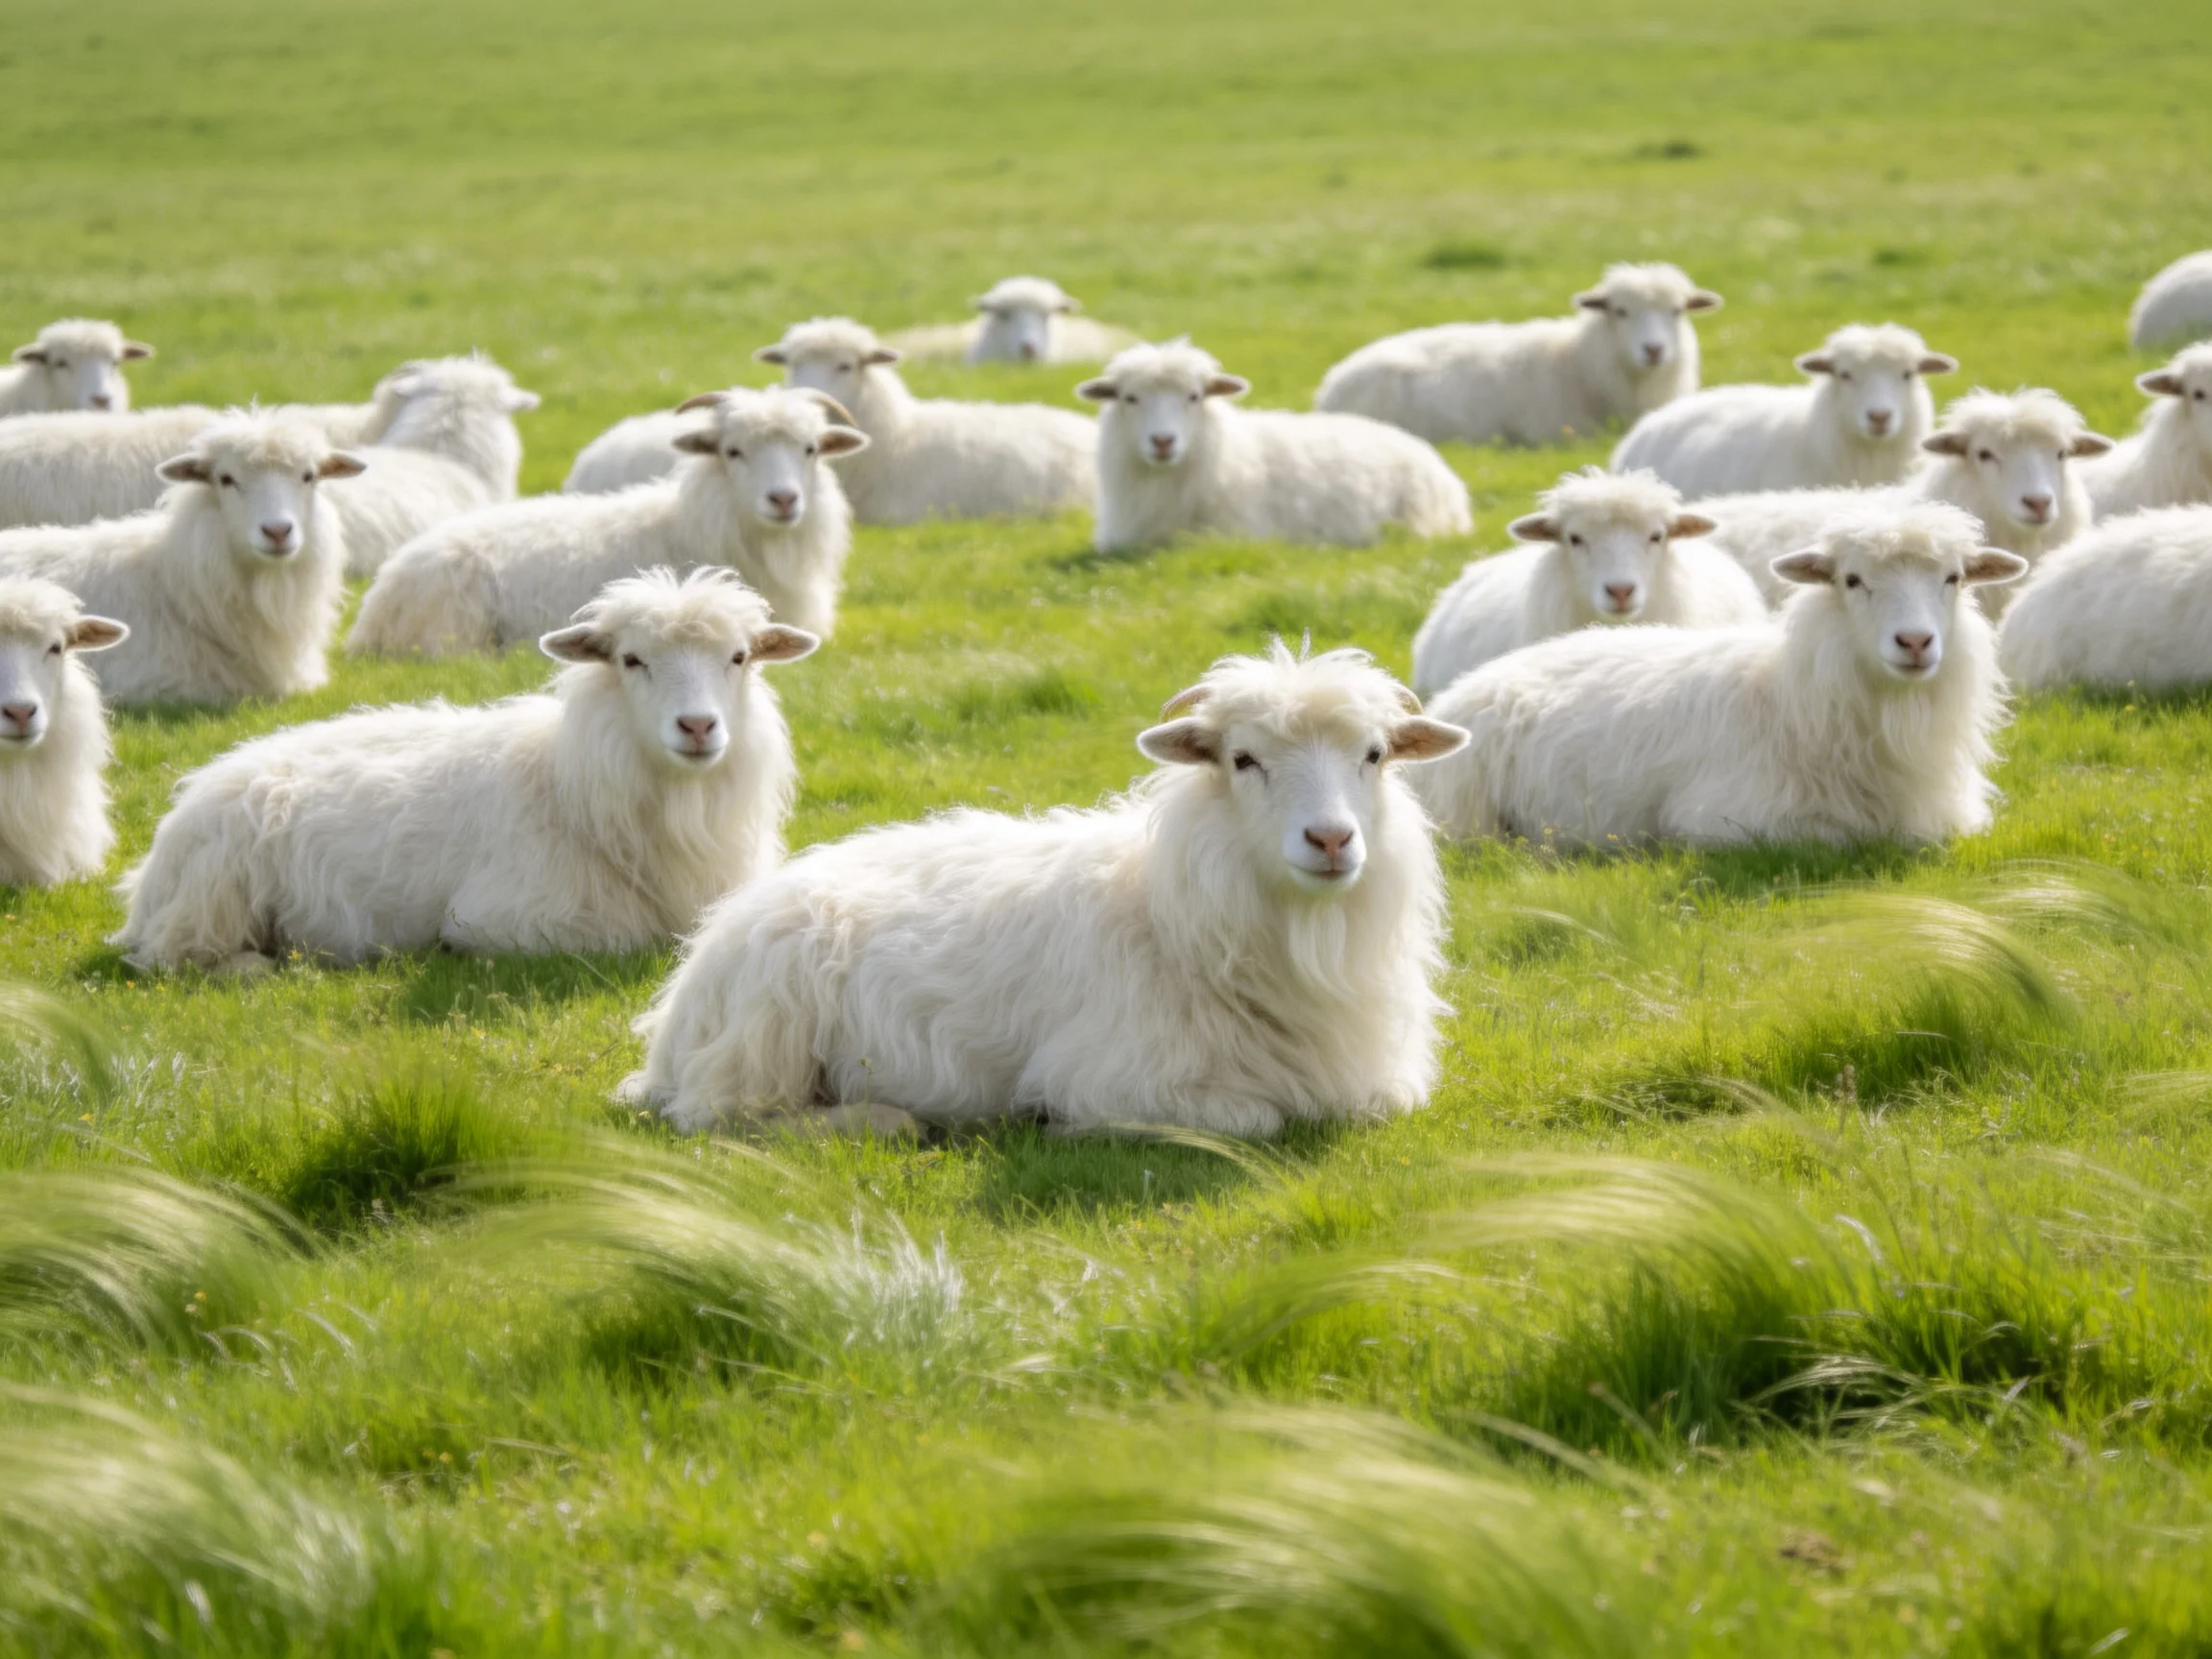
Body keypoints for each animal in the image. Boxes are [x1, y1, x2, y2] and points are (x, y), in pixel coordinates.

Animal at [113, 568, 812, 969]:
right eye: (632, 660)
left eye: (740, 657)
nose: (697, 727)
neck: (567, 784)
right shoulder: (512, 918)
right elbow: (633, 938)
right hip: (211, 899)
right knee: (173, 958)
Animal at [617, 642, 1469, 1137]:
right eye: (1243, 760)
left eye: (1374, 755)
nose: (1330, 840)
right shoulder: (1117, 1075)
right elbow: (1254, 1120)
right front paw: (1055, 1123)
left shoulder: (1381, 1081)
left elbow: (1384, 1100)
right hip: (762, 1034)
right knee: (721, 1118)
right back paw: (889, 1119)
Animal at [1411, 503, 2023, 849]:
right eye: (1851, 580)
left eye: (1953, 578)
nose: (1916, 642)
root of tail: (1454, 695)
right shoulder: (1732, 822)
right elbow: (1849, 837)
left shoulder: (1957, 818)